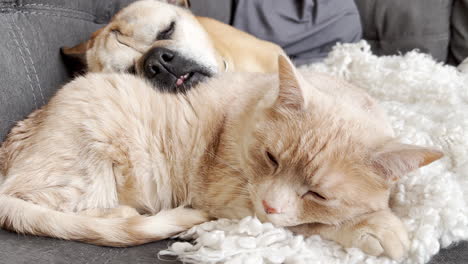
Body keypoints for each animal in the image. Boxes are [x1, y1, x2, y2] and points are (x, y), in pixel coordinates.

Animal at [0, 55, 440, 260]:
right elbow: (309, 225)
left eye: (317, 193)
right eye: (271, 158)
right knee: (44, 206)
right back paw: (124, 215)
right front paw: (380, 227)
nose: (270, 205)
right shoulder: (231, 197)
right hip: (82, 168)